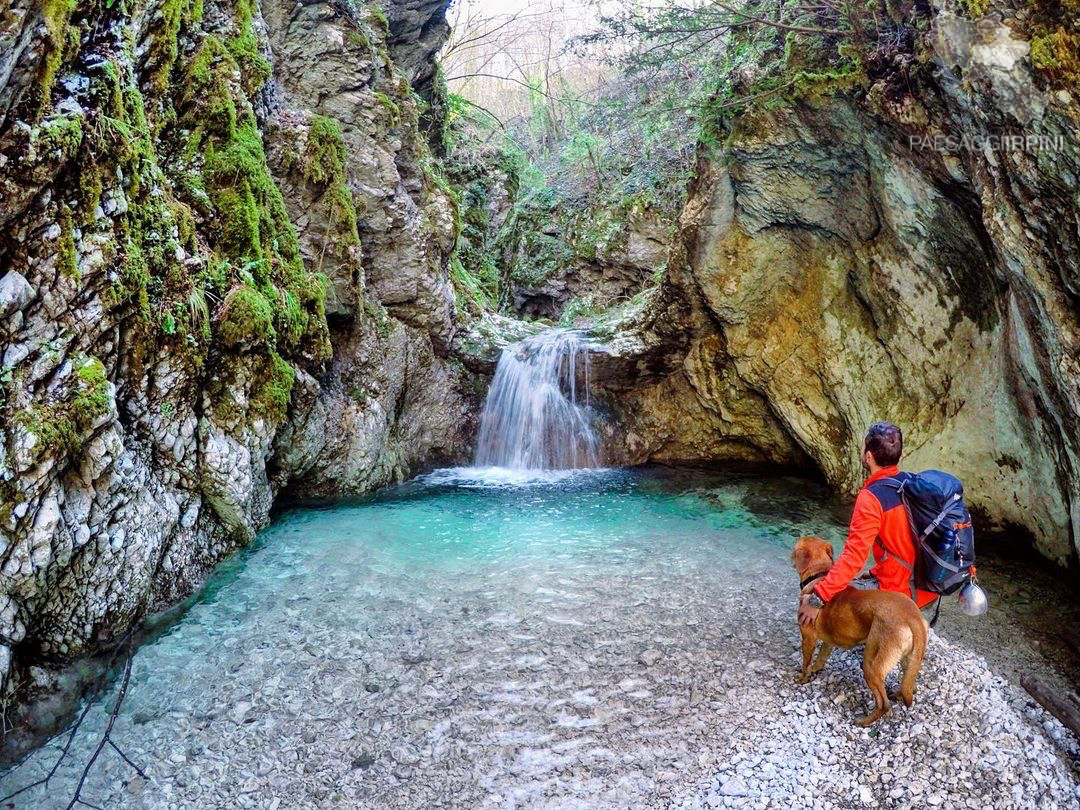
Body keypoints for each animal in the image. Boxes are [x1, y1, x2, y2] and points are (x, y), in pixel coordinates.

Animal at [790, 535, 933, 725]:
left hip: (871, 663)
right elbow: (821, 659)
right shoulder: (828, 642)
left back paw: (863, 722)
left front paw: (802, 679)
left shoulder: (808, 638)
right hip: (909, 659)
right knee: (910, 686)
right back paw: (898, 694)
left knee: (884, 704)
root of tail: (913, 617)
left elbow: (806, 664)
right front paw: (815, 669)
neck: (819, 574)